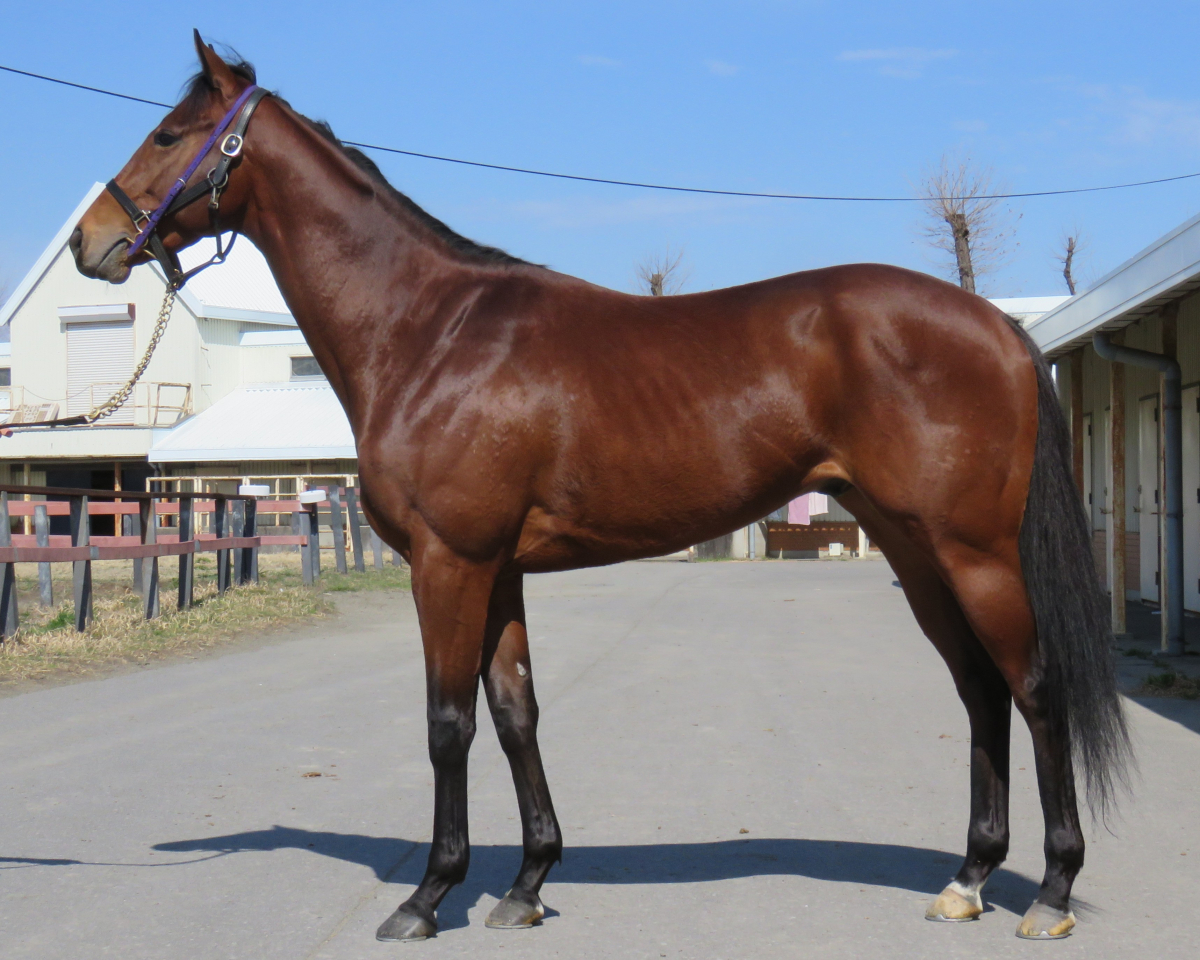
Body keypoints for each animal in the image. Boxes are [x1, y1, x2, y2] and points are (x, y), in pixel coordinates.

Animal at [70, 33, 1129, 943]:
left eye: (166, 133)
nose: (91, 243)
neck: (430, 331)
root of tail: (998, 327)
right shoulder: (497, 570)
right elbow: (516, 713)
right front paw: (529, 882)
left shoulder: (449, 564)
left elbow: (447, 724)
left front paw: (428, 895)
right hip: (914, 548)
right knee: (979, 690)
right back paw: (968, 880)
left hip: (972, 551)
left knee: (1034, 689)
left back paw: (1051, 890)